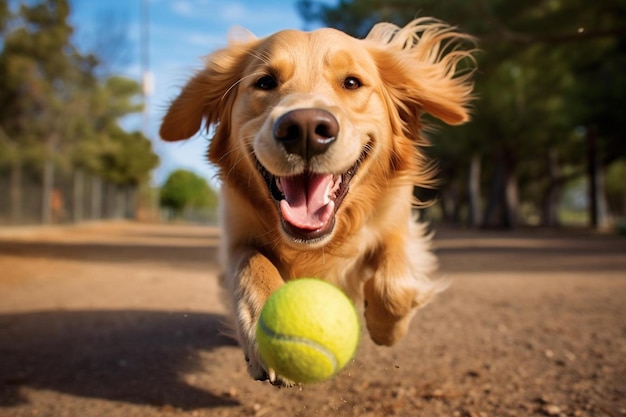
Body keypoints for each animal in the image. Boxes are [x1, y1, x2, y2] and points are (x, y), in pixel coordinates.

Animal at [161, 17, 472, 386]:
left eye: (351, 82)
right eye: (265, 82)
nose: (305, 129)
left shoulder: (398, 223)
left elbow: (395, 283)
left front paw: (385, 327)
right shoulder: (236, 236)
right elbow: (253, 264)